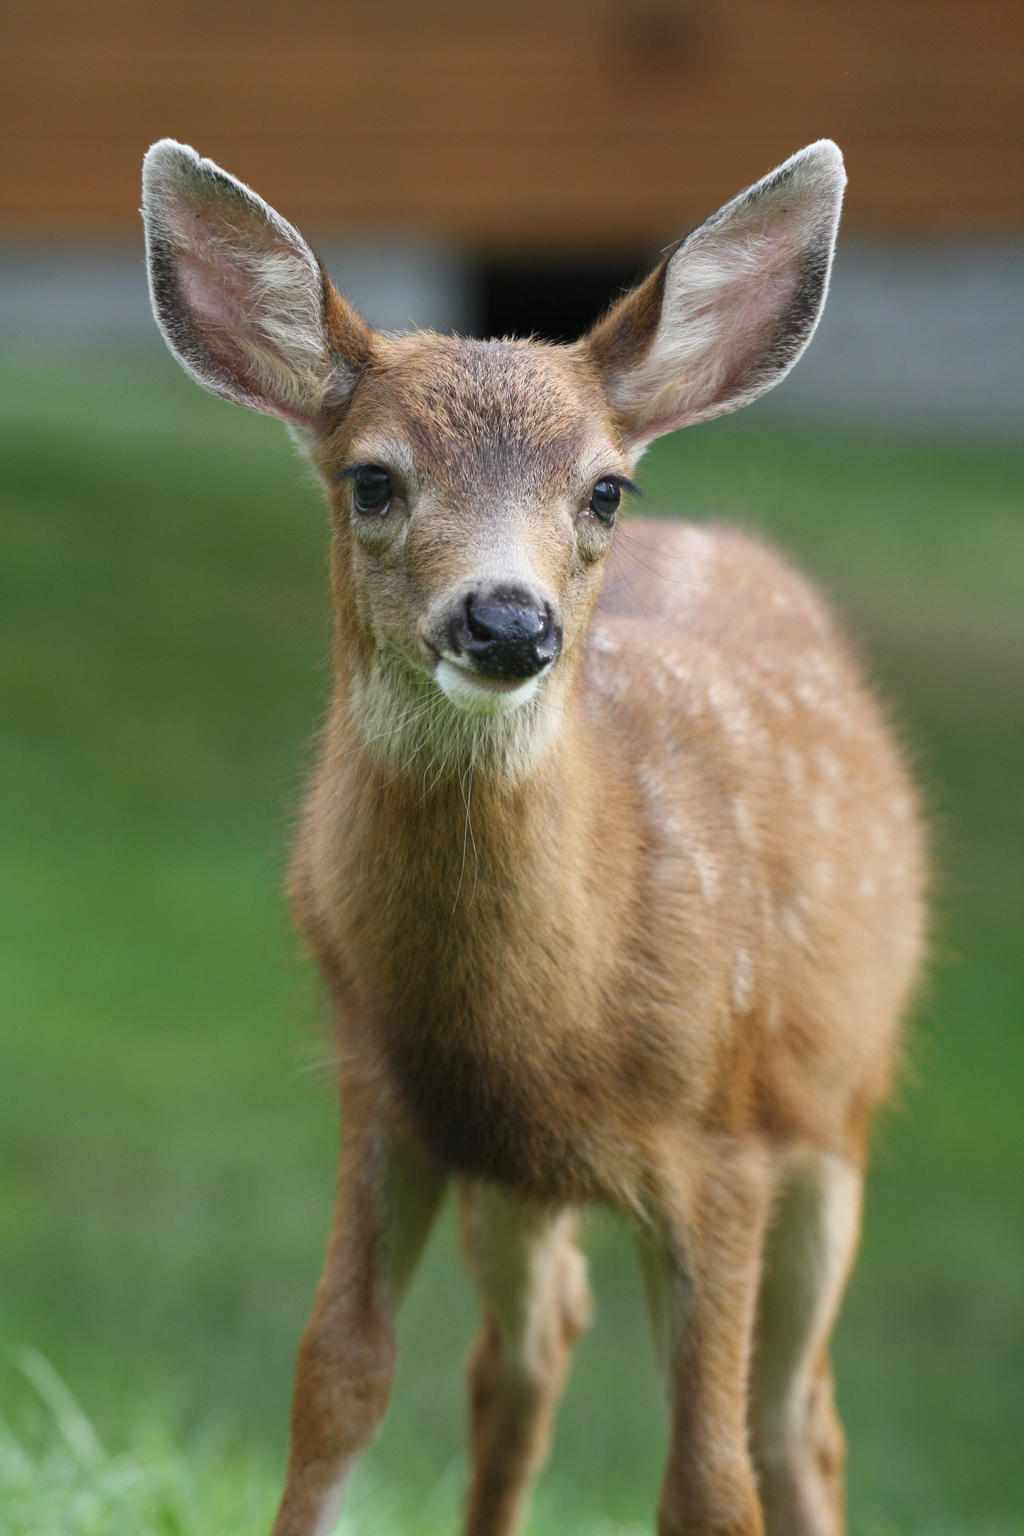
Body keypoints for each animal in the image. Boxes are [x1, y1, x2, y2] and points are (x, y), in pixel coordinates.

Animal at [140, 135, 927, 1536]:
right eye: (373, 478)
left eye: (604, 489)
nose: (506, 620)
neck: (552, 1016)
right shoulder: (388, 1094)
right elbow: (336, 1379)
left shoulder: (725, 1145)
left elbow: (709, 1478)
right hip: (515, 1182)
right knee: (527, 1354)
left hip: (836, 1117)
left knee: (797, 1419)